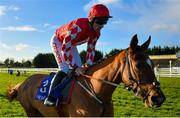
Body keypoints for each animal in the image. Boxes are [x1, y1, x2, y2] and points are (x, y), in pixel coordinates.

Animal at [7, 34, 166, 117]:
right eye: (138, 65)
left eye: (152, 64)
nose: (158, 98)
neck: (95, 91)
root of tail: (22, 83)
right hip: (31, 111)